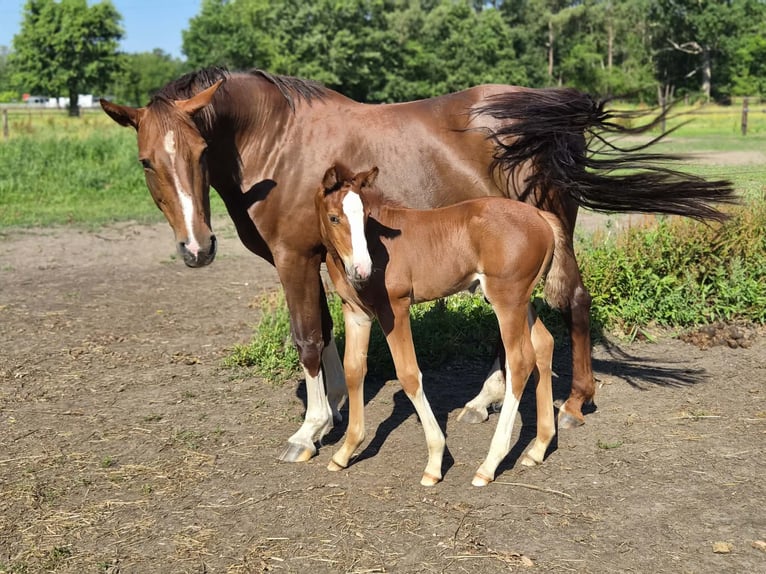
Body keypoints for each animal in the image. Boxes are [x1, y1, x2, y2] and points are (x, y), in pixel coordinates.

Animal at [316, 164, 571, 486]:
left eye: (364, 217)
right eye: (334, 217)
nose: (362, 269)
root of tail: (541, 216)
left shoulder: (394, 308)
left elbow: (409, 375)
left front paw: (435, 462)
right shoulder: (356, 312)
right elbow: (353, 370)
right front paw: (345, 452)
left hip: (507, 300)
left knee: (520, 361)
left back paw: (489, 465)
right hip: (520, 300)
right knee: (544, 344)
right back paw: (538, 448)